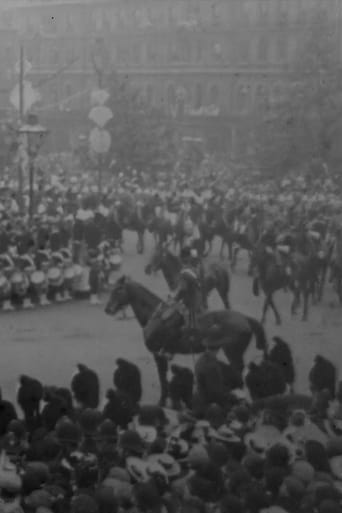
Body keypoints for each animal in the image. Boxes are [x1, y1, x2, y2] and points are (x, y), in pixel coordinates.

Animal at [104, 276, 268, 404]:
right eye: (111, 290)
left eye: (118, 290)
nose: (107, 309)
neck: (155, 318)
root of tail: (245, 318)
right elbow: (164, 379)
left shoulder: (158, 355)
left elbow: (163, 380)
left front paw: (162, 401)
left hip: (232, 352)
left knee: (237, 370)